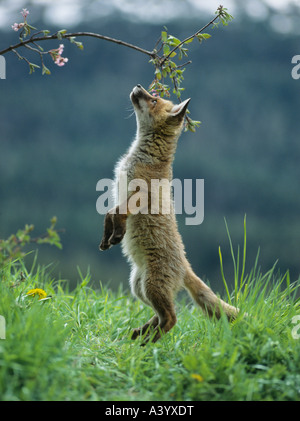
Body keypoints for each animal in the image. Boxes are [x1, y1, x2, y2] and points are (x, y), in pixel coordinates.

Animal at [99, 83, 240, 342]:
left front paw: (118, 235)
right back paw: (142, 333)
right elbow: (109, 213)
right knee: (162, 315)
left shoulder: (140, 196)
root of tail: (185, 264)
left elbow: (119, 214)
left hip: (152, 287)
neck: (142, 157)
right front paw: (107, 239)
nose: (138, 86)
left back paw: (149, 341)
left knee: (173, 318)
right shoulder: (121, 194)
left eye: (153, 100)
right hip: (140, 288)